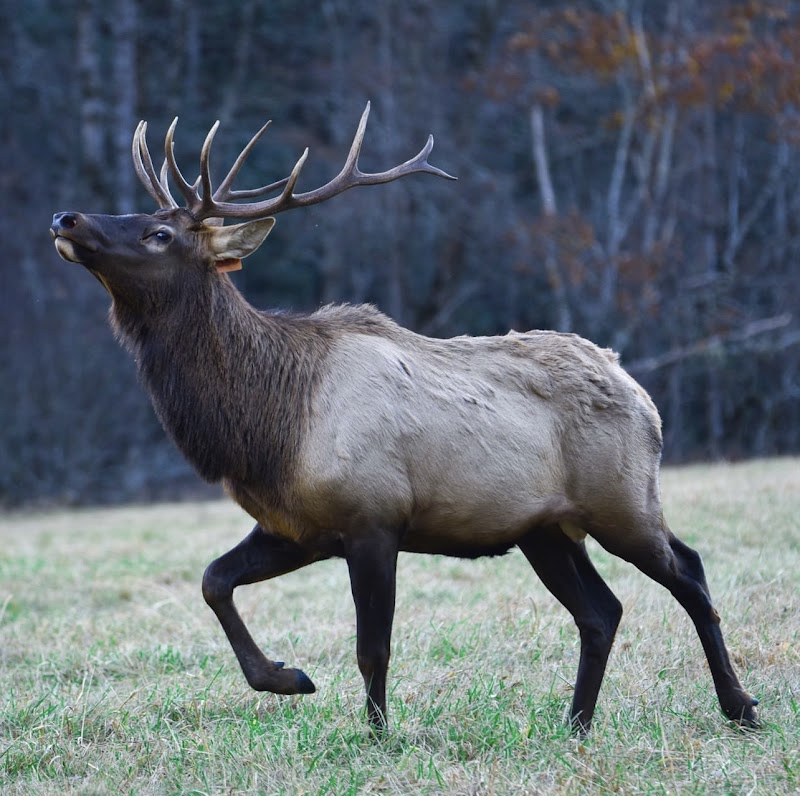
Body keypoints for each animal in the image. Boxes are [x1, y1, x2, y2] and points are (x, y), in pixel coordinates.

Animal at [50, 102, 759, 737]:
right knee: (602, 611)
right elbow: (212, 581)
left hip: (622, 500)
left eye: (159, 233)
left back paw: (740, 707)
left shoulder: (374, 517)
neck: (269, 426)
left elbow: (373, 646)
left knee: (689, 572)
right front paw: (287, 677)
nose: (66, 215)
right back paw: (577, 724)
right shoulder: (296, 527)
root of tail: (637, 388)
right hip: (546, 530)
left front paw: (377, 735)